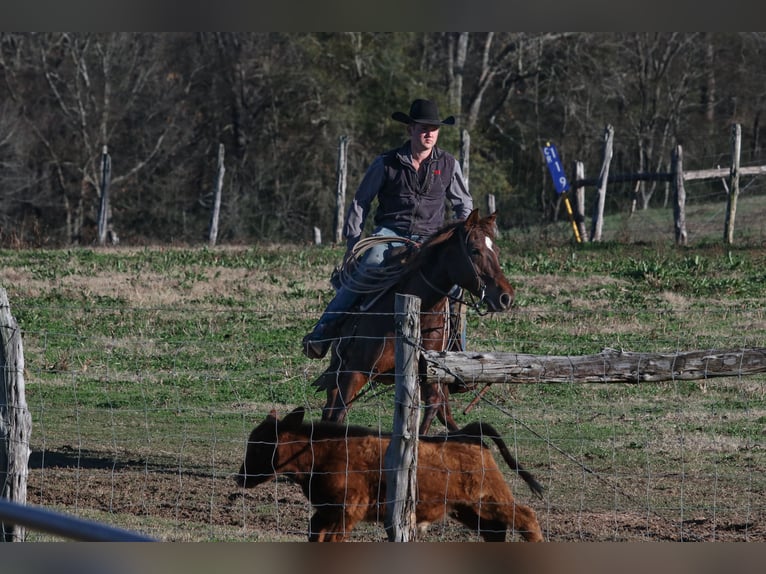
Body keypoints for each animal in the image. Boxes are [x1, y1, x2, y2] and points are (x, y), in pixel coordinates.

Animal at [234, 410, 544, 544]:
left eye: (260, 445)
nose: (241, 477)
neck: (324, 452)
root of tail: (469, 435)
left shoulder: (347, 511)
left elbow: (330, 538)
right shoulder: (326, 511)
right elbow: (315, 534)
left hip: (490, 498)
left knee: (526, 517)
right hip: (467, 508)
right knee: (496, 531)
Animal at [312, 212, 516, 436]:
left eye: (497, 250)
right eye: (475, 250)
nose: (506, 297)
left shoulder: (431, 376)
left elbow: (432, 408)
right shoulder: (356, 371)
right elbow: (339, 415)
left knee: (445, 413)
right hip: (341, 368)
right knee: (331, 410)